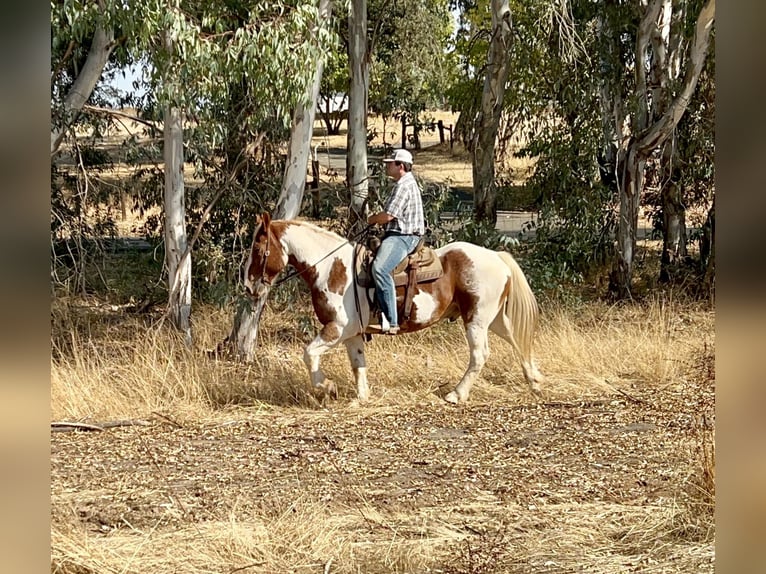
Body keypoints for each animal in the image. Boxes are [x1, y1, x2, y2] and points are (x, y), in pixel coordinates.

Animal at [246, 214, 544, 408]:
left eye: (258, 249)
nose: (249, 286)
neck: (333, 268)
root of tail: (497, 256)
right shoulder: (353, 334)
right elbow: (358, 364)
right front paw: (361, 398)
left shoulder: (336, 329)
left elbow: (308, 354)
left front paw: (327, 387)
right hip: (494, 320)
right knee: (517, 342)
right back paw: (534, 381)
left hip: (477, 320)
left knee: (480, 355)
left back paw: (456, 394)